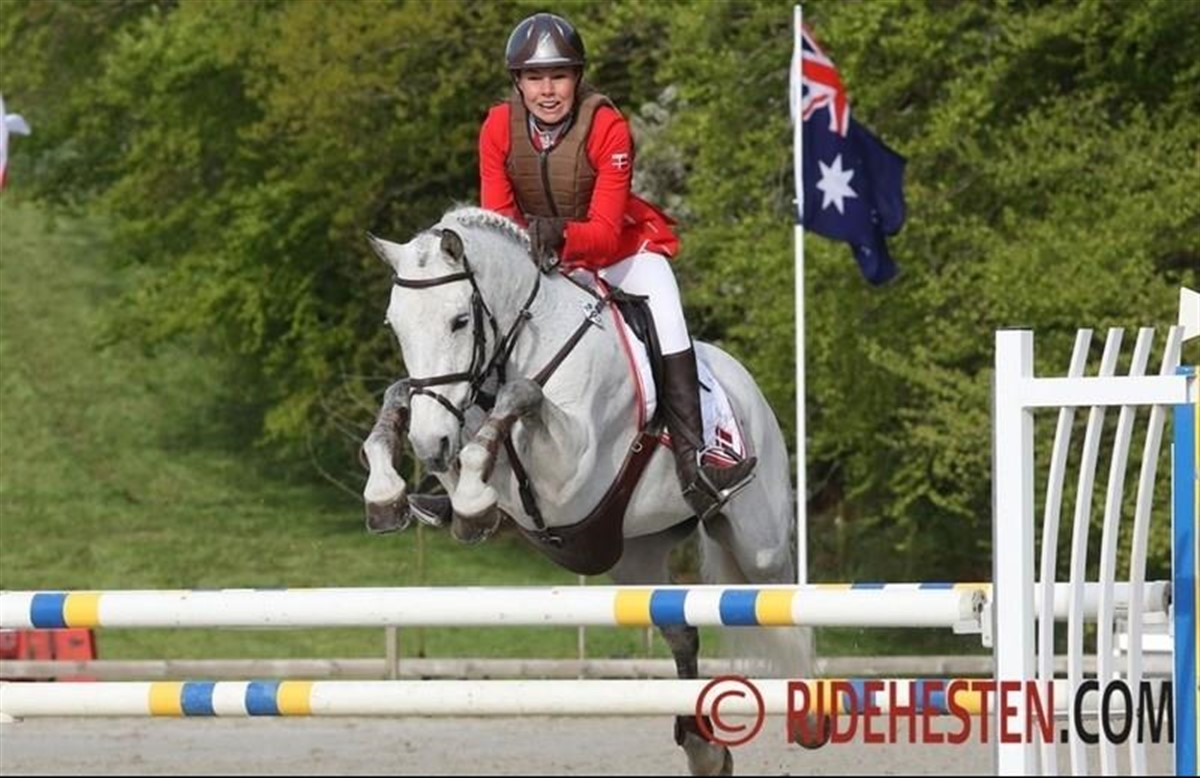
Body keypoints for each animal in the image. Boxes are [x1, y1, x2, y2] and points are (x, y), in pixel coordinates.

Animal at [360, 205, 817, 775]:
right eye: (395, 325)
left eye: (459, 321)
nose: (427, 445)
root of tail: (742, 380)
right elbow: (402, 396)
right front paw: (390, 495)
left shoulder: (569, 477)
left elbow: (523, 395)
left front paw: (469, 505)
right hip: (635, 556)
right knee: (681, 629)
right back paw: (703, 748)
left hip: (760, 543)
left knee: (788, 606)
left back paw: (811, 716)